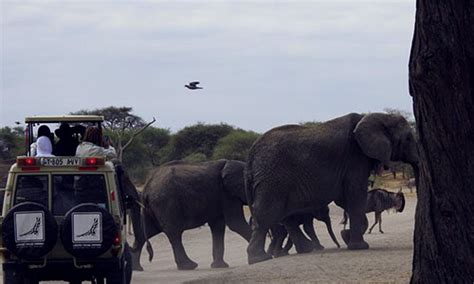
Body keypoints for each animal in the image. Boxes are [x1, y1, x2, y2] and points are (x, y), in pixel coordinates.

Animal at [244, 111, 418, 264]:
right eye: (408, 138)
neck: (372, 116)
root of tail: (251, 155)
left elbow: (346, 200)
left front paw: (346, 236)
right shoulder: (355, 159)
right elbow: (356, 196)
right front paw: (359, 246)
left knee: (285, 217)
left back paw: (304, 250)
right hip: (272, 179)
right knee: (268, 213)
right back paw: (259, 258)